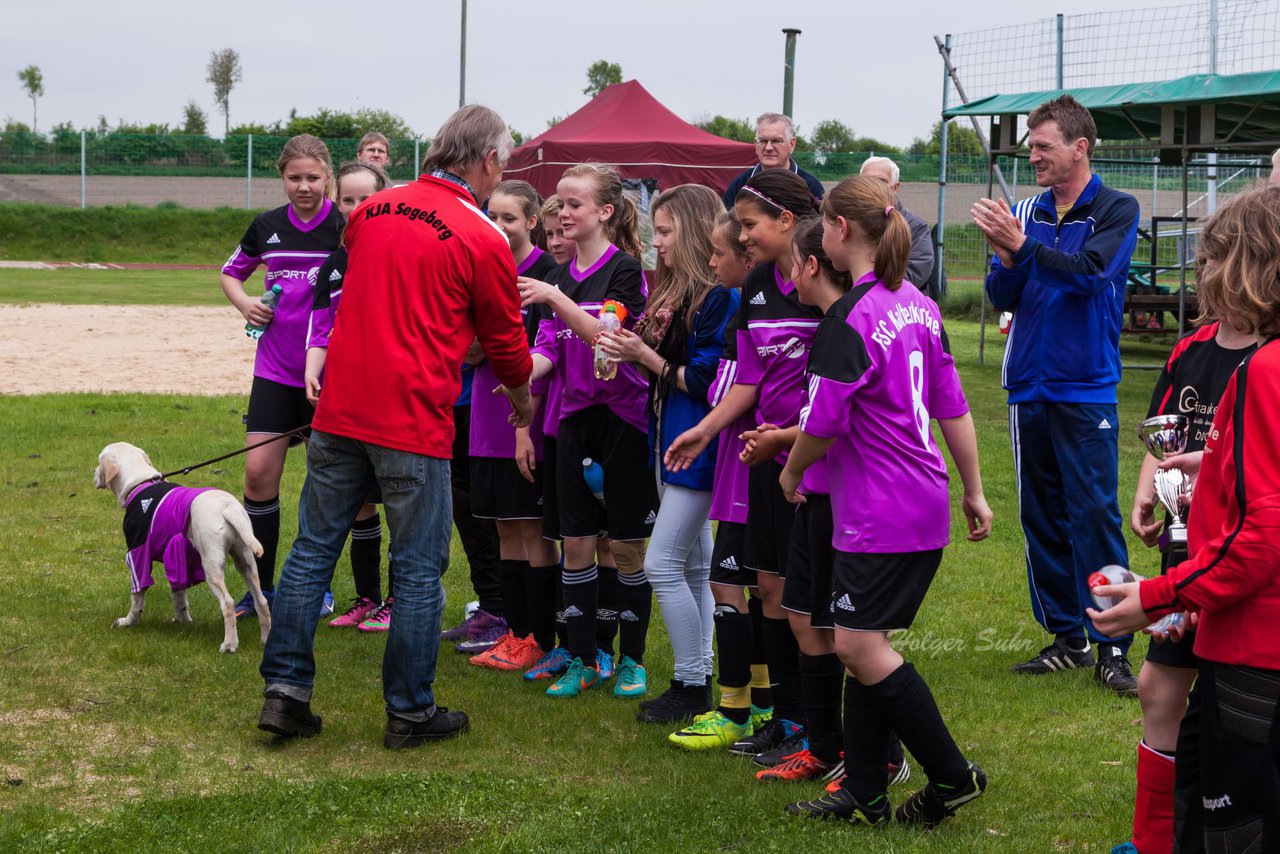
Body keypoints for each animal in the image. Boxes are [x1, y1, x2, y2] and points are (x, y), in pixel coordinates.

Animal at [93, 440, 271, 655]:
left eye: (99, 459)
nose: (93, 473)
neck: (140, 482)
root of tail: (227, 507)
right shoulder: (177, 558)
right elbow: (179, 595)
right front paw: (182, 621)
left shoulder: (137, 554)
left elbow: (137, 598)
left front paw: (128, 622)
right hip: (245, 561)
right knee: (262, 601)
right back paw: (266, 640)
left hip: (212, 565)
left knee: (227, 604)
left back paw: (229, 645)